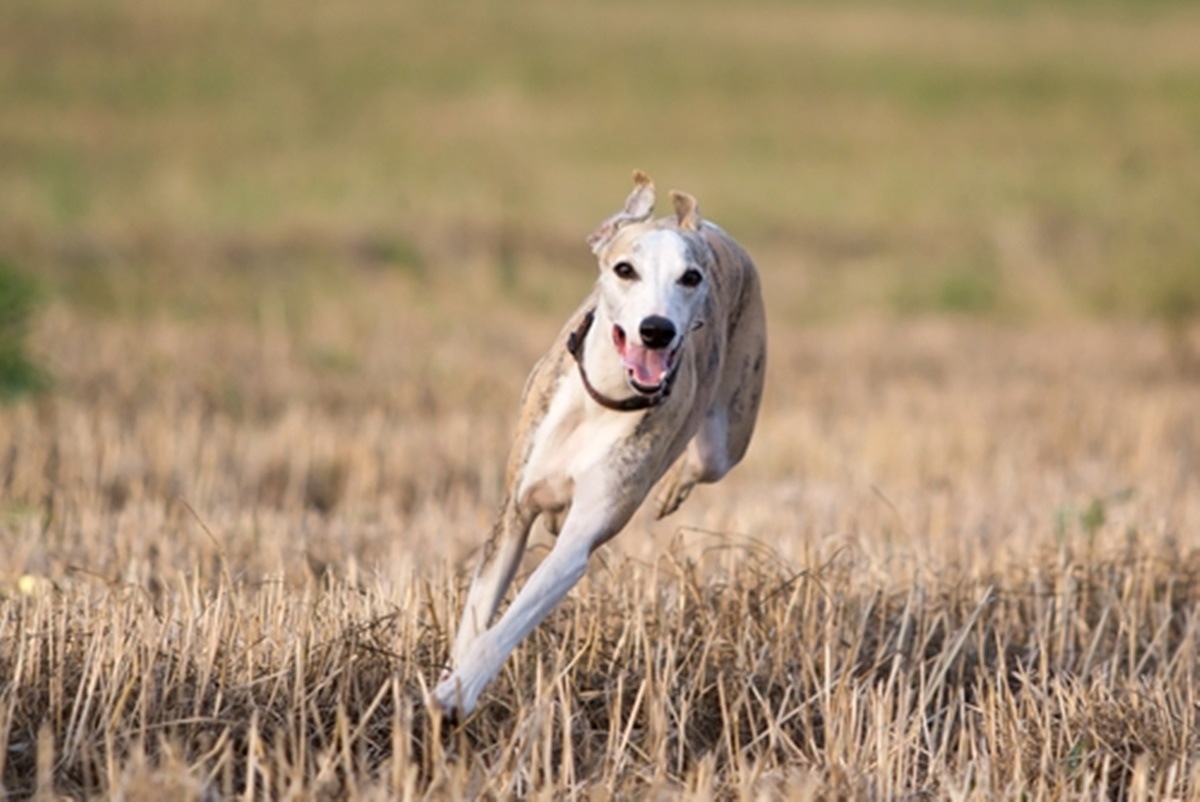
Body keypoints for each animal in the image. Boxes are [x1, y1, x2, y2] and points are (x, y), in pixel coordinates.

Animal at [436, 170, 763, 720]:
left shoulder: (580, 536)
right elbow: (478, 614)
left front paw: (456, 691)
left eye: (690, 277)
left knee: (702, 460)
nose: (656, 330)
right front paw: (450, 680)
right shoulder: (513, 514)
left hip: (726, 439)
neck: (605, 397)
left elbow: (510, 620)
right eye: (624, 269)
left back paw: (670, 489)